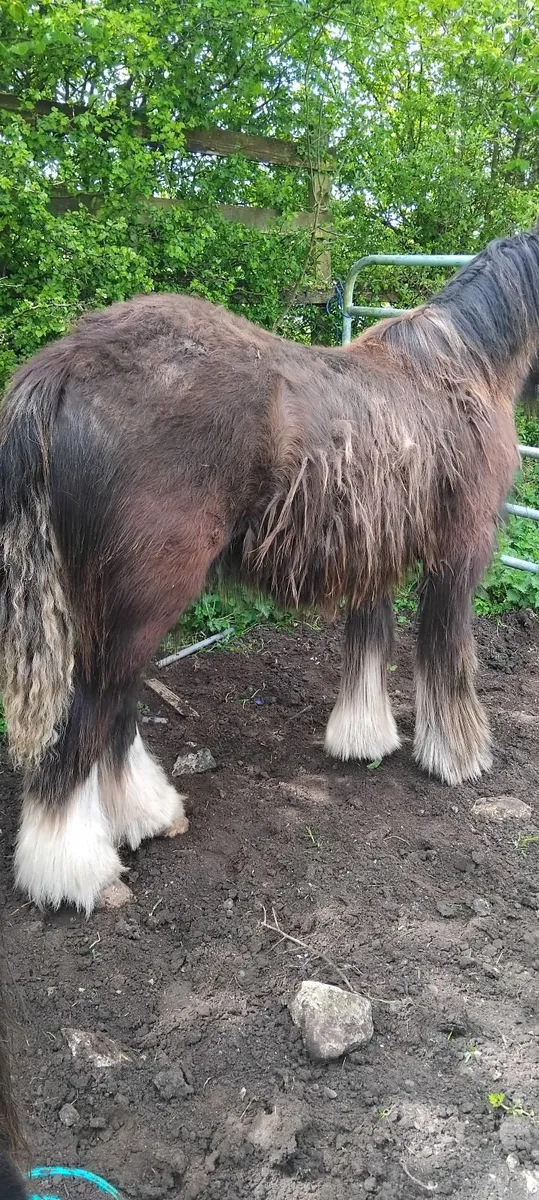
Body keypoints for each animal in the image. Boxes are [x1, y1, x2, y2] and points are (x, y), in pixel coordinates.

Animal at [0, 227, 537, 914]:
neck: (463, 366)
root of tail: (64, 363)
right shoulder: (460, 553)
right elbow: (448, 657)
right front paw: (458, 756)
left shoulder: (375, 556)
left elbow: (370, 646)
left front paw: (363, 738)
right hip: (140, 601)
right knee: (85, 716)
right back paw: (77, 873)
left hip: (118, 608)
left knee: (114, 713)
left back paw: (148, 816)